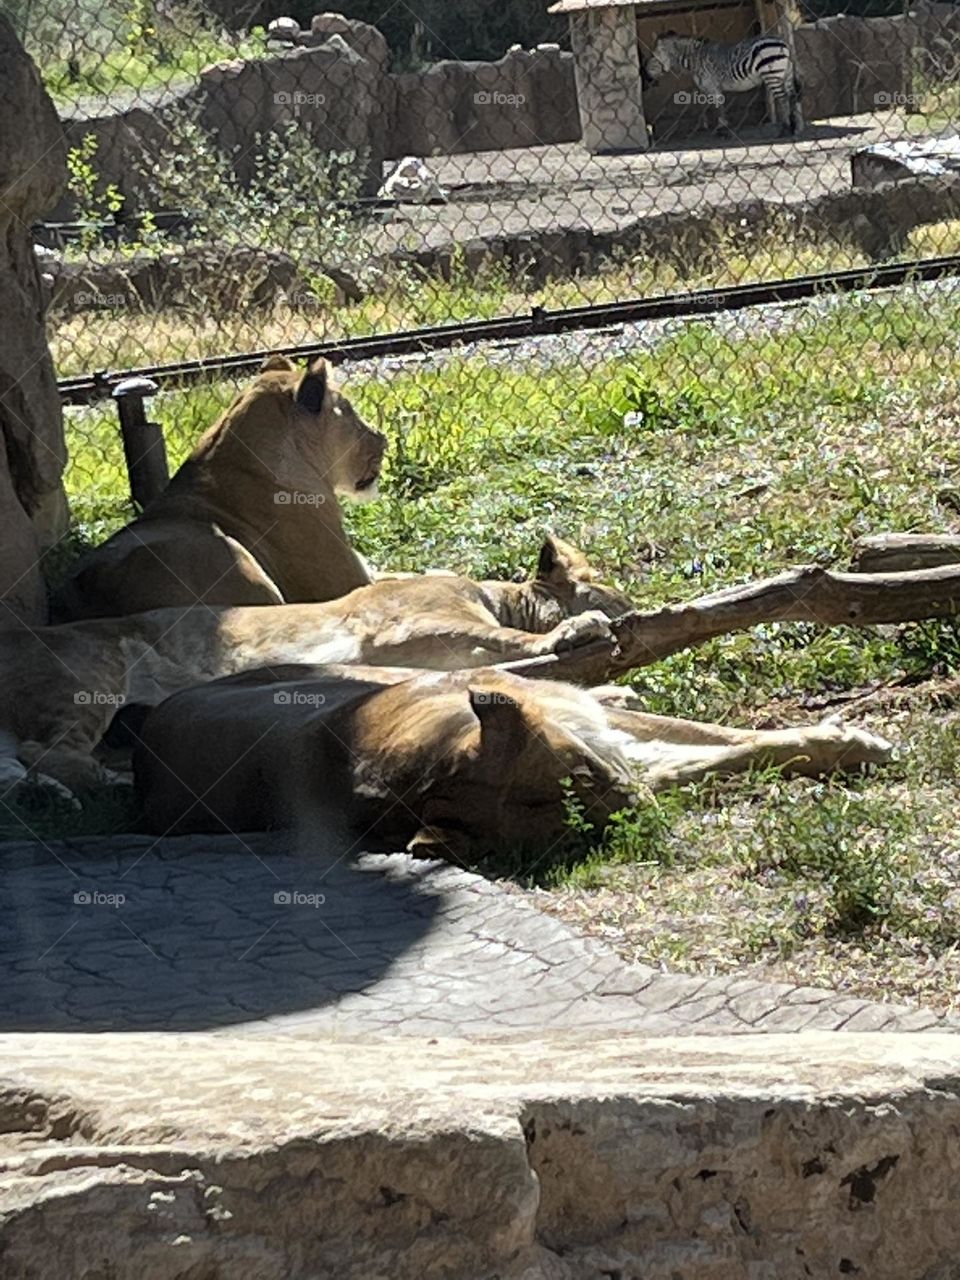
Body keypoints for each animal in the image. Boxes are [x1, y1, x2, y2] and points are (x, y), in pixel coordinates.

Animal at [0, 536, 632, 796]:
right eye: (618, 595)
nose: (632, 608)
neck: (495, 593)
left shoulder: (408, 656)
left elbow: (505, 670)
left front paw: (613, 697)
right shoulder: (407, 624)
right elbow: (511, 641)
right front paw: (579, 628)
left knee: (29, 761)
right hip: (91, 671)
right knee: (43, 751)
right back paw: (107, 783)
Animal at [133, 662, 892, 857]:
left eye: (582, 779)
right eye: (571, 827)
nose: (637, 814)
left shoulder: (585, 719)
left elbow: (709, 738)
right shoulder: (618, 747)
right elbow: (716, 755)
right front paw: (849, 744)